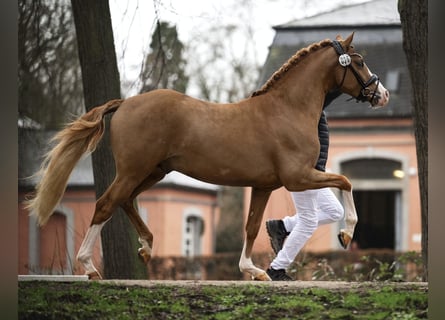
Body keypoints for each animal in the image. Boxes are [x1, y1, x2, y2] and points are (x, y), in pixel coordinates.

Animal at [26, 33, 388, 280]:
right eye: (358, 61)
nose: (382, 94)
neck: (287, 110)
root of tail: (125, 103)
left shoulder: (264, 186)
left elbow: (252, 227)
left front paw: (252, 269)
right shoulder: (297, 177)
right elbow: (346, 180)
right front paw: (345, 233)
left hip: (152, 172)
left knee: (124, 201)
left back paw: (146, 246)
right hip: (134, 170)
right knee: (105, 204)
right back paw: (89, 267)